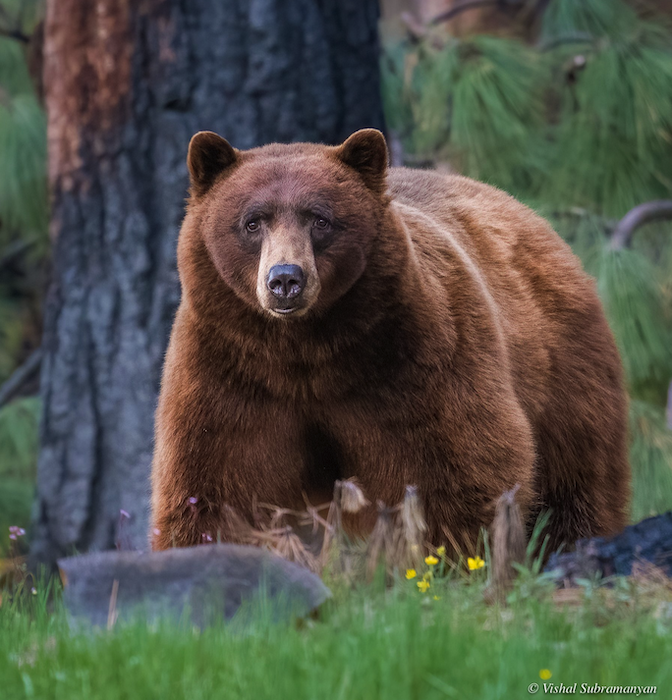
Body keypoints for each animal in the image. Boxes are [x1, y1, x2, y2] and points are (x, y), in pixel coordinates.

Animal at [150, 128, 630, 556]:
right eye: (252, 222)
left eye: (320, 219)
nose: (285, 279)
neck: (305, 354)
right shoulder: (231, 371)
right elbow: (217, 483)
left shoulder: (411, 357)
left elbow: (455, 467)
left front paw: (453, 559)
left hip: (565, 371)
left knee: (578, 481)